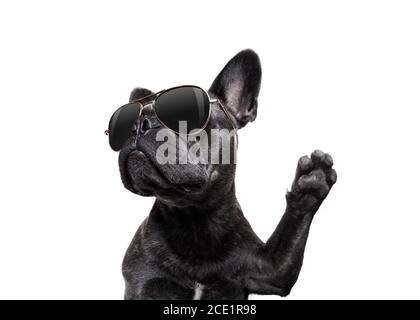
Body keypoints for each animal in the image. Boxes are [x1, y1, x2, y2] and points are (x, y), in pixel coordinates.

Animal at [115, 48, 338, 298]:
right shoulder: (142, 283)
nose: (138, 124)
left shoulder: (269, 270)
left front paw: (311, 184)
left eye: (184, 115)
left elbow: (290, 235)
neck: (193, 216)